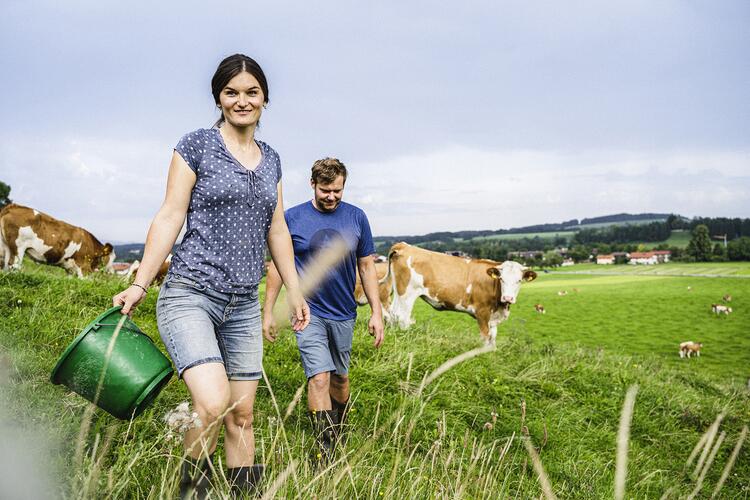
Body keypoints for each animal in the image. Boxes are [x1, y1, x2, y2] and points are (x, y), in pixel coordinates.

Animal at [384, 242, 536, 344]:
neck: (500, 306)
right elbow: (485, 339)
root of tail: (404, 245)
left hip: (399, 293)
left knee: (392, 314)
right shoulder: (482, 313)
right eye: (501, 279)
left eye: (519, 281)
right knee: (402, 317)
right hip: (407, 293)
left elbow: (492, 340)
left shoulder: (492, 319)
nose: (508, 297)